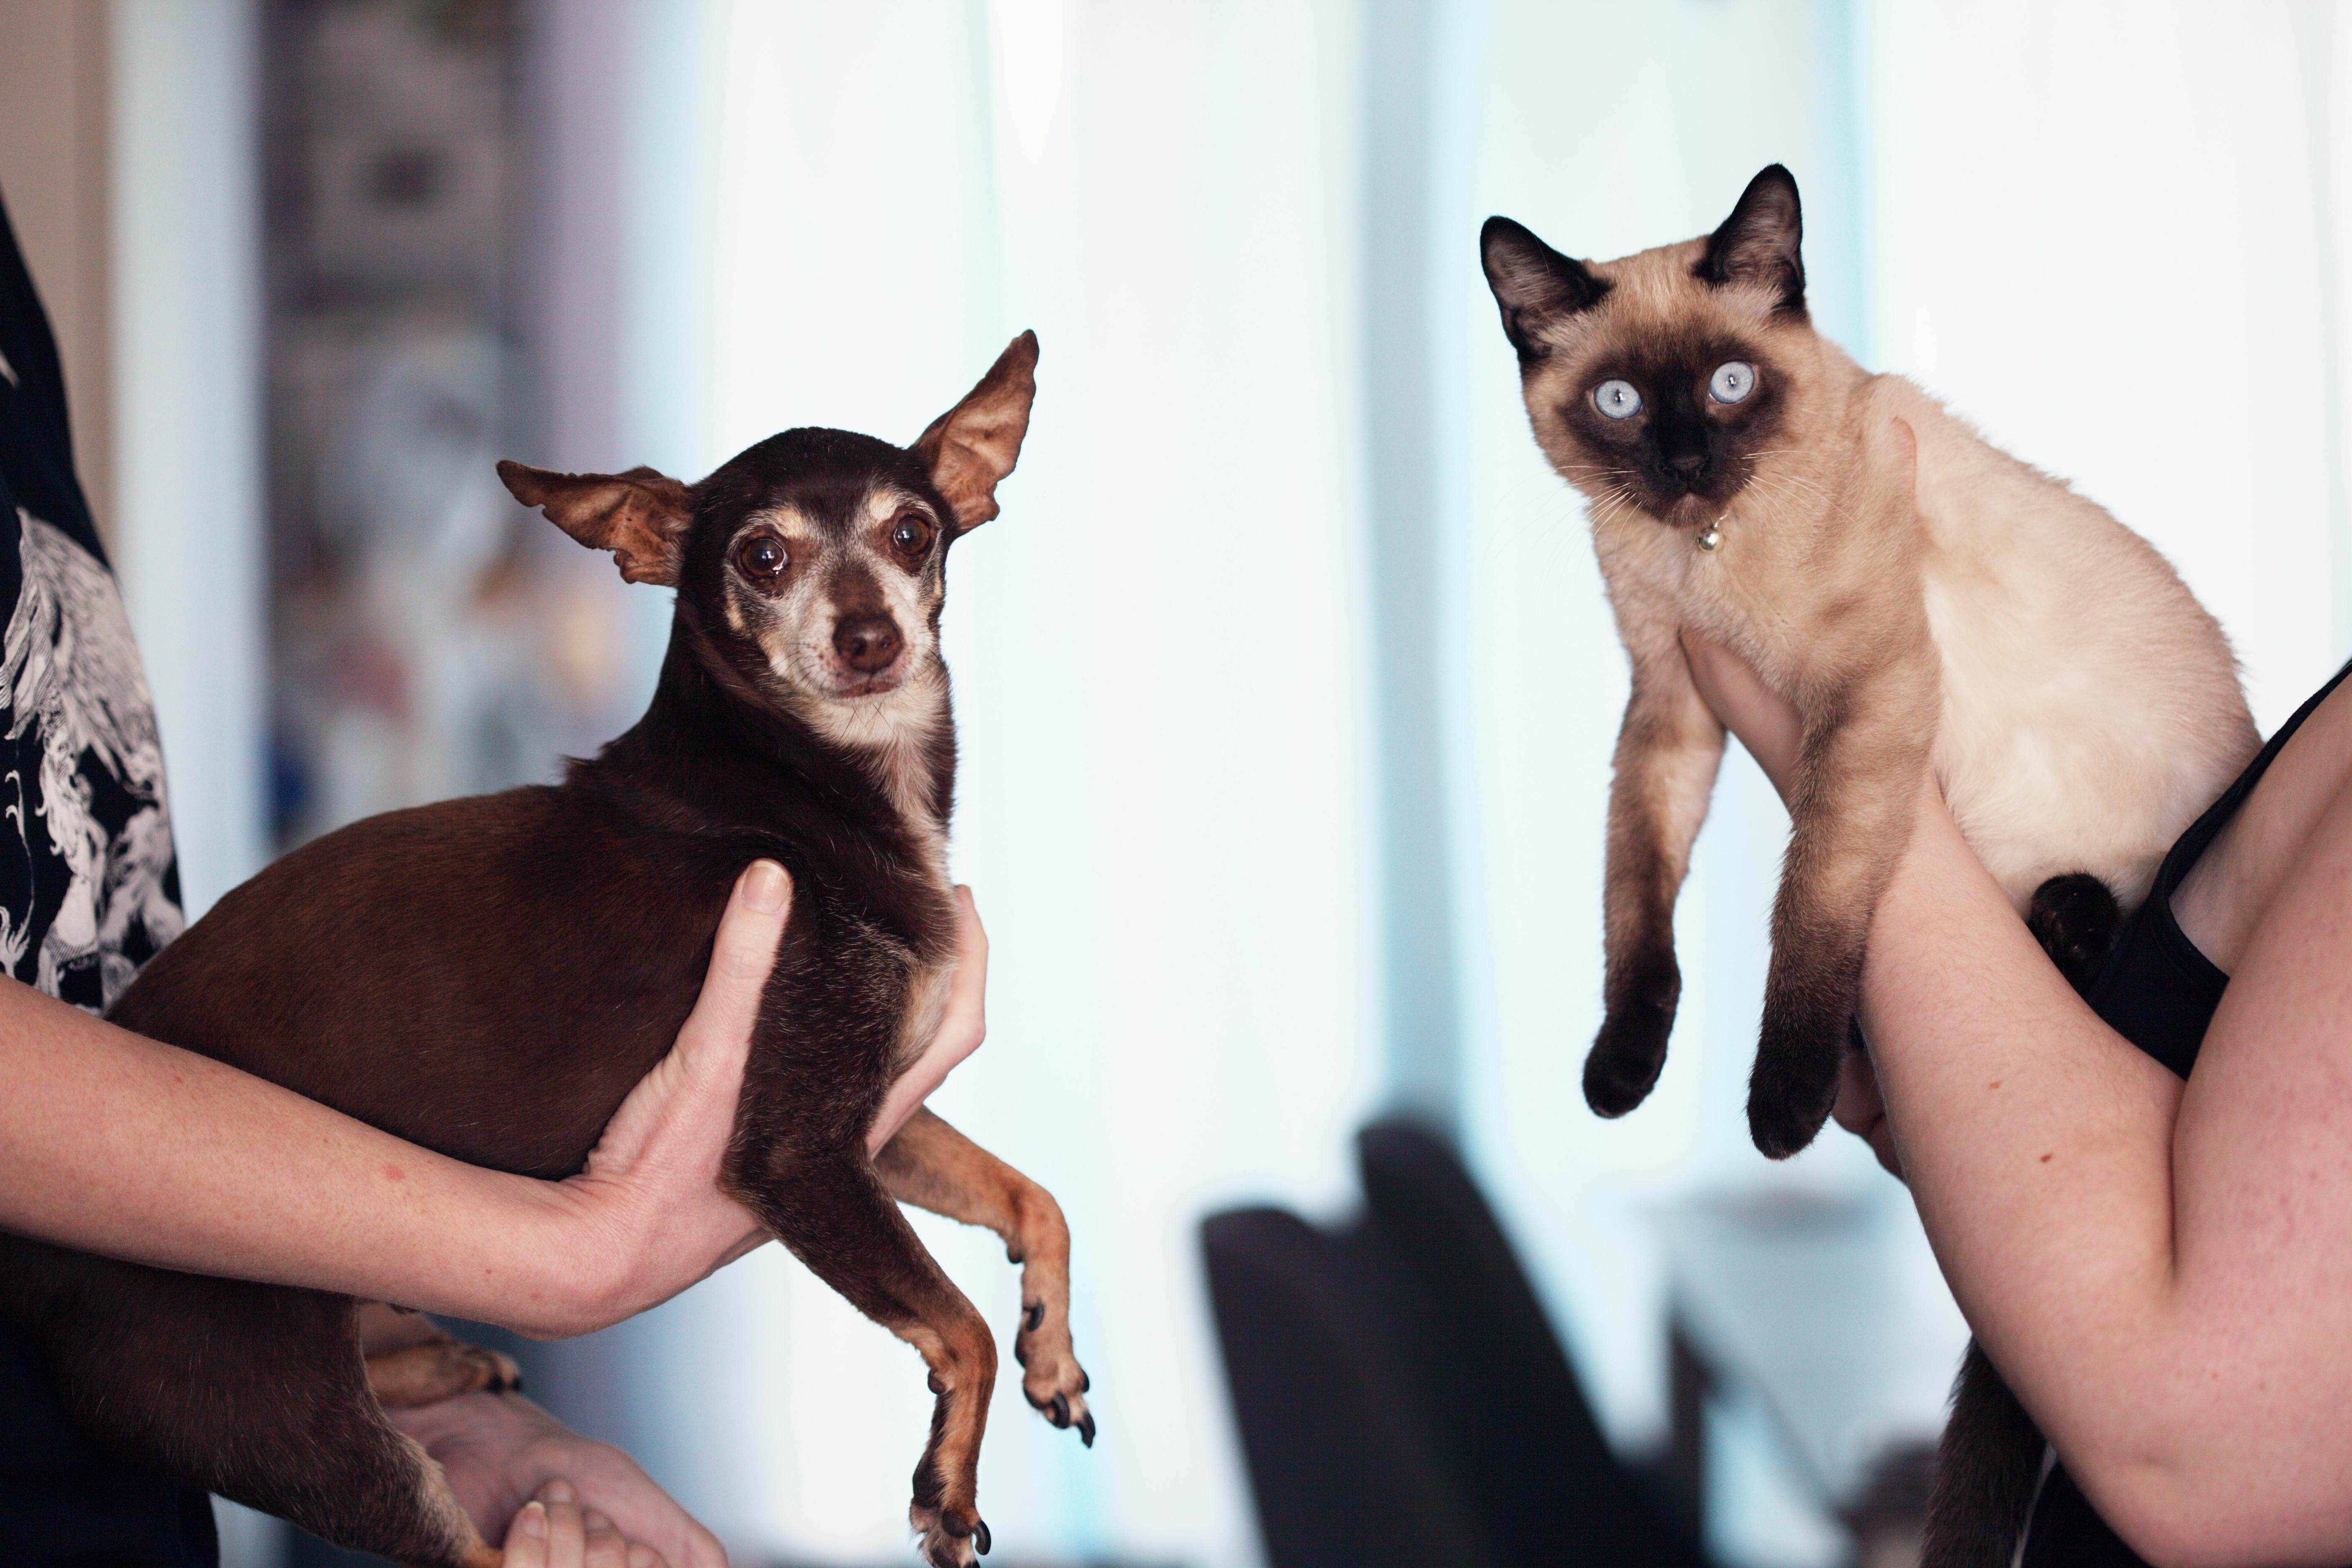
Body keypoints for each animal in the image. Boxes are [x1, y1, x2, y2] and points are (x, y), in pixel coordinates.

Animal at [0, 331, 1082, 1568]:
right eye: (762, 557)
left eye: (913, 534)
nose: (868, 639)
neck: (815, 782)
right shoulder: (797, 1156)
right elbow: (958, 1321)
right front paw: (949, 1480)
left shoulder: (875, 1119)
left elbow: (1030, 1197)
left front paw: (1052, 1344)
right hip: (282, 1408)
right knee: (456, 1538)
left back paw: (435, 1358)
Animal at [1486, 165, 2258, 1561]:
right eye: (1621, 403)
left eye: (1730, 385)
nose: (1687, 462)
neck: (1706, 560)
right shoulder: (1671, 714)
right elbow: (1637, 906)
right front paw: (1621, 1076)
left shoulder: (1860, 711)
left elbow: (1811, 913)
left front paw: (1778, 1111)